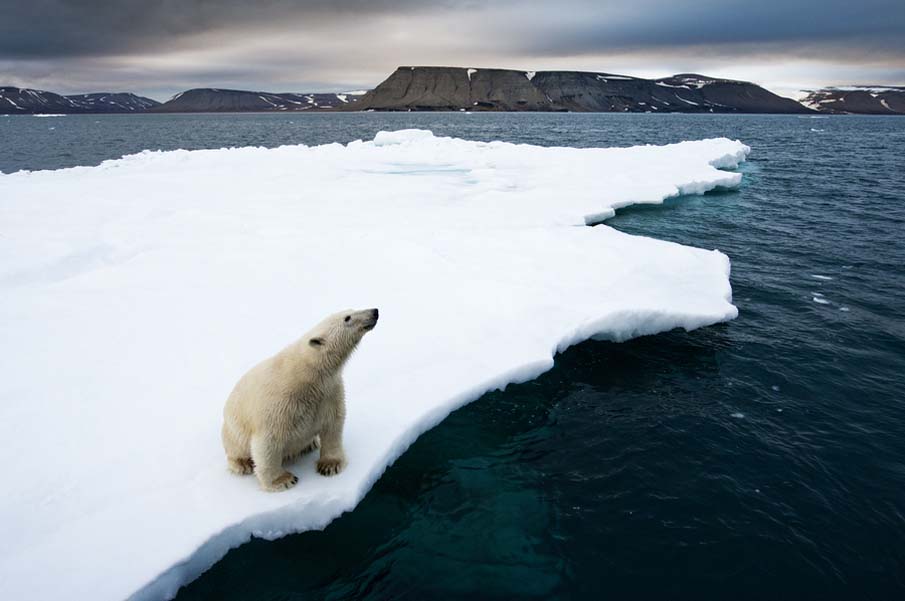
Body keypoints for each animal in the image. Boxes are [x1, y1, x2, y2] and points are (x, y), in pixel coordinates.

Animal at [222, 308, 378, 490]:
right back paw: (243, 464)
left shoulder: (329, 393)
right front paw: (283, 480)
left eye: (351, 310)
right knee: (237, 448)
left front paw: (330, 465)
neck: (308, 375)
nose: (374, 311)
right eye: (347, 318)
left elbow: (333, 425)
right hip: (233, 430)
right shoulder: (279, 403)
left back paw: (310, 444)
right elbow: (268, 442)